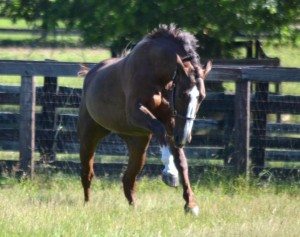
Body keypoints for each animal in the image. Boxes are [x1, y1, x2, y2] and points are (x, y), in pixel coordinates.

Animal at [78, 24, 212, 215]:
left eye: (201, 97)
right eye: (181, 94)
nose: (184, 138)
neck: (155, 71)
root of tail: (90, 74)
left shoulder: (170, 120)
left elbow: (181, 159)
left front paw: (191, 204)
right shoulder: (136, 113)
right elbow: (160, 131)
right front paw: (170, 174)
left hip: (137, 143)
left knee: (128, 179)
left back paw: (134, 208)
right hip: (89, 136)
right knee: (87, 172)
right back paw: (88, 204)